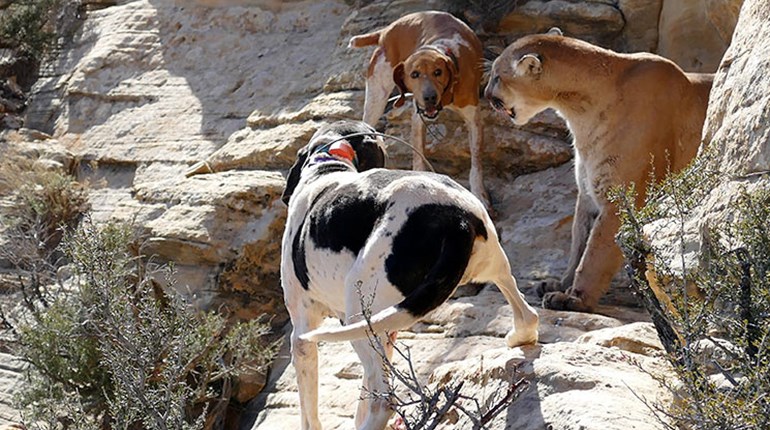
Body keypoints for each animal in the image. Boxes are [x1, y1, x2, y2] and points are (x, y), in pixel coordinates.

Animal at [484, 28, 713, 312]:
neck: (578, 112)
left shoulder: (620, 200)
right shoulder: (588, 192)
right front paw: (560, 284)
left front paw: (574, 298)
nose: (485, 95)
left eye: (497, 76)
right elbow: (579, 243)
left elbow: (596, 252)